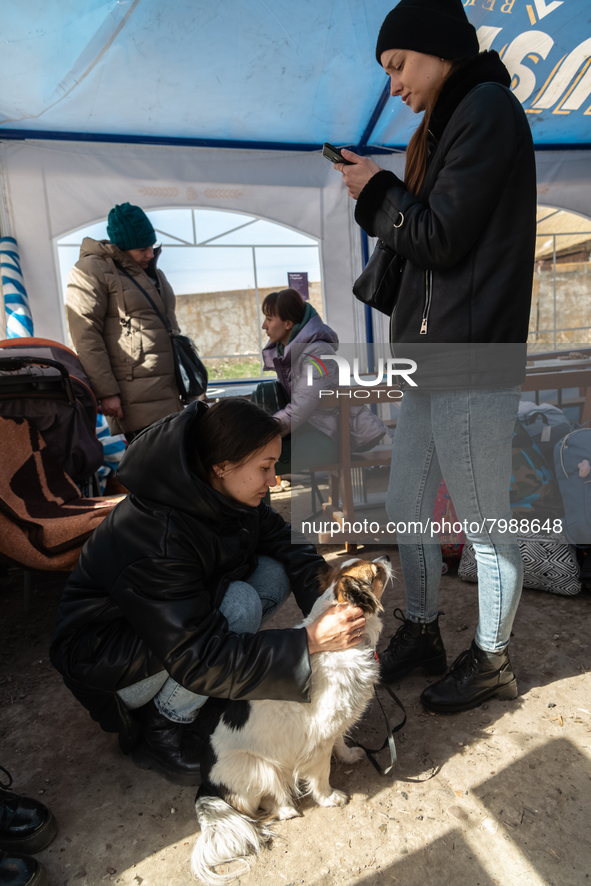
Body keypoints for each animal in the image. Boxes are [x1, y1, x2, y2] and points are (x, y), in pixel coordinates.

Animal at [192, 560, 390, 884]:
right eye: (376, 572)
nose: (385, 556)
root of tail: (206, 784)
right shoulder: (318, 739)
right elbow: (321, 775)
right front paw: (329, 798)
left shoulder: (336, 720)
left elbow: (341, 741)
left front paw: (349, 756)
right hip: (261, 767)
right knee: (263, 802)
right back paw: (286, 810)